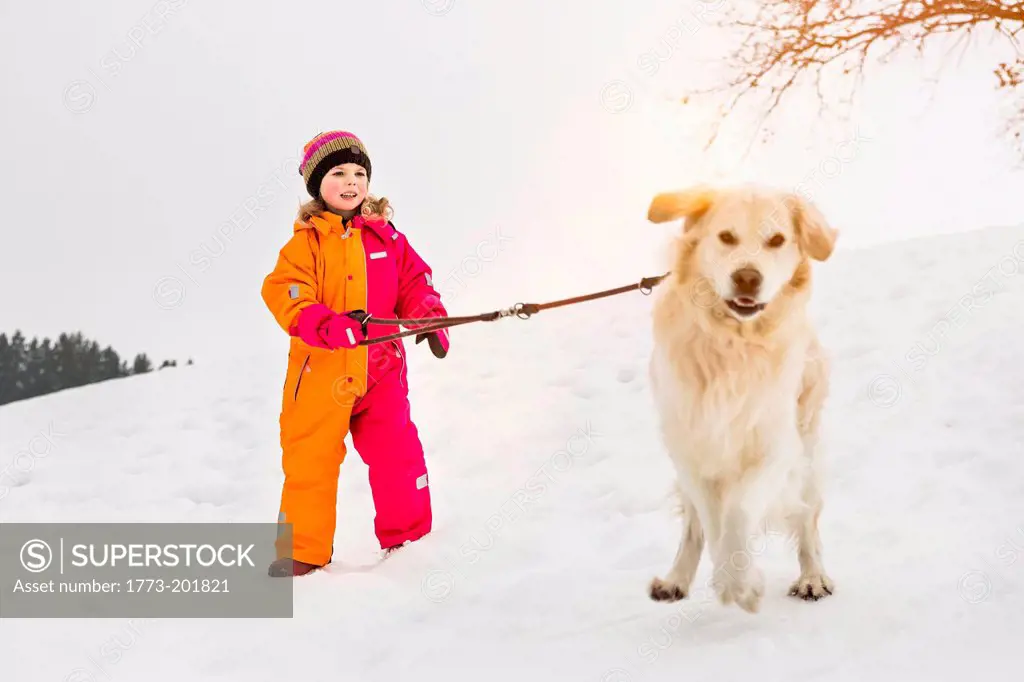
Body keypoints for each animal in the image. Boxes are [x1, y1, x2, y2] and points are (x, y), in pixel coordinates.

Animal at [647, 182, 839, 610]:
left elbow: (738, 510)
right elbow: (712, 520)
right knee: (694, 525)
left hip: (807, 448)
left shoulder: (775, 445)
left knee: (808, 518)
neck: (732, 343)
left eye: (777, 240)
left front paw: (739, 584)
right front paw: (733, 579)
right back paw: (675, 580)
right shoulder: (690, 447)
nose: (747, 278)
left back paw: (812, 577)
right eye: (726, 237)